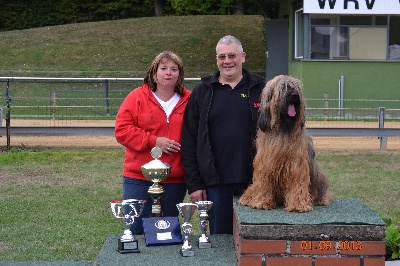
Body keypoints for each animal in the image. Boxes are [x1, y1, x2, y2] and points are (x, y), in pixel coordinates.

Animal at [239, 75, 332, 212]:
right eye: (284, 87)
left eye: (296, 87)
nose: (294, 95)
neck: (284, 127)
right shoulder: (265, 164)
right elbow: (264, 181)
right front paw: (261, 202)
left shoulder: (297, 165)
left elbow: (297, 182)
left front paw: (298, 205)